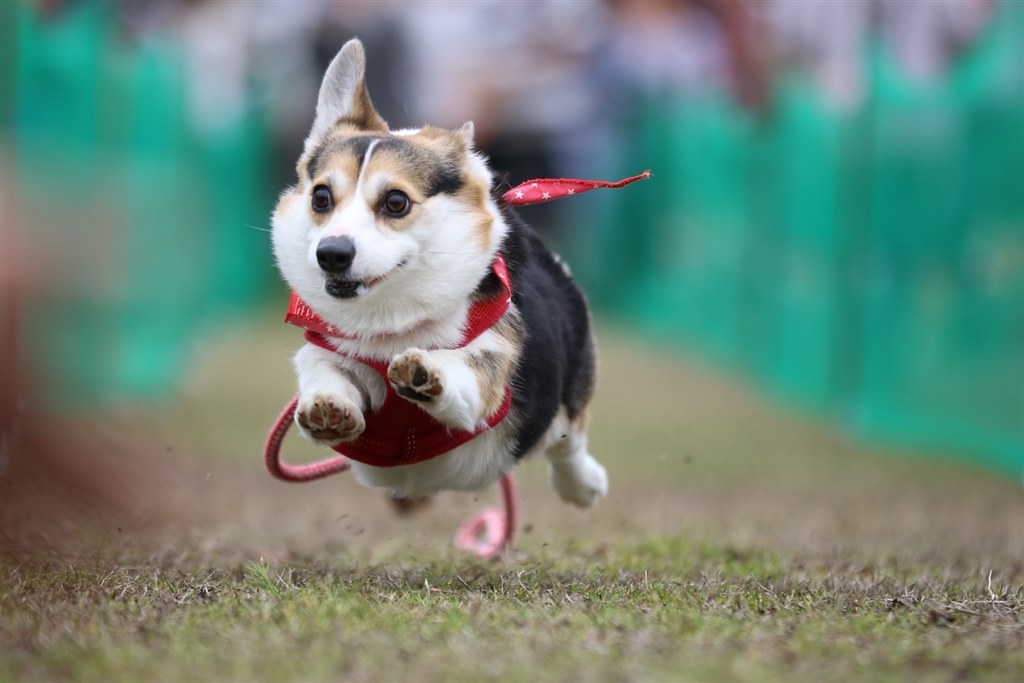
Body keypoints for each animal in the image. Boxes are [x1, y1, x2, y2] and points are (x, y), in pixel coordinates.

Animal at [270, 37, 606, 507]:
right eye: (321, 197)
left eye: (396, 202)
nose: (331, 254)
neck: (391, 326)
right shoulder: (325, 351)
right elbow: (324, 369)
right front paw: (327, 407)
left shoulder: (491, 366)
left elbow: (466, 374)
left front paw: (427, 372)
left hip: (570, 384)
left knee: (567, 440)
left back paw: (583, 485)